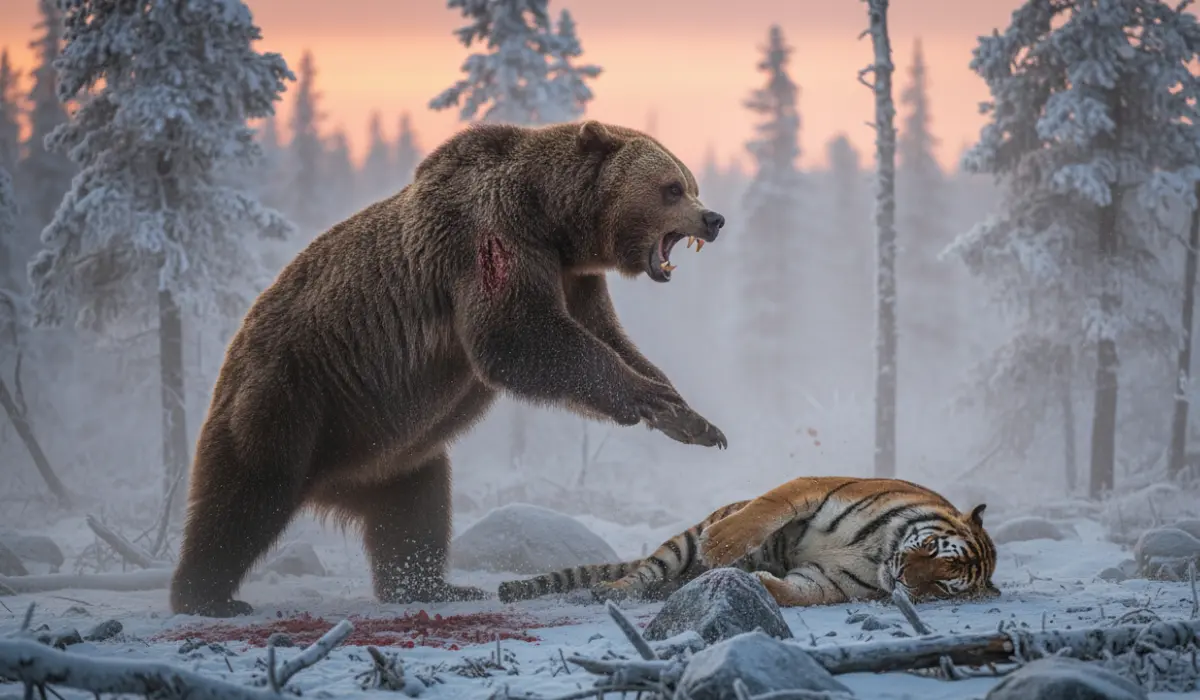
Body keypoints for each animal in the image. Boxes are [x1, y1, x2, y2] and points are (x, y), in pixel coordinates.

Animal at [169, 120, 728, 617]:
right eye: (672, 187)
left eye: (691, 184)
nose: (714, 218)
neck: (553, 220)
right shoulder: (493, 242)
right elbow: (519, 336)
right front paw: (652, 400)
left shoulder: (573, 276)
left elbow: (607, 336)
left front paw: (691, 417)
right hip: (291, 394)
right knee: (246, 495)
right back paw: (207, 596)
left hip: (391, 450)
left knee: (417, 509)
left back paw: (432, 586)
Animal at [496, 476, 999, 608]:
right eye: (931, 550)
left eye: (940, 585)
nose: (906, 579)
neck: (880, 552)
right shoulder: (815, 487)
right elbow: (769, 508)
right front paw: (722, 546)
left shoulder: (829, 582)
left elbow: (798, 593)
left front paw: (757, 581)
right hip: (679, 546)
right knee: (641, 573)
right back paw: (611, 591)